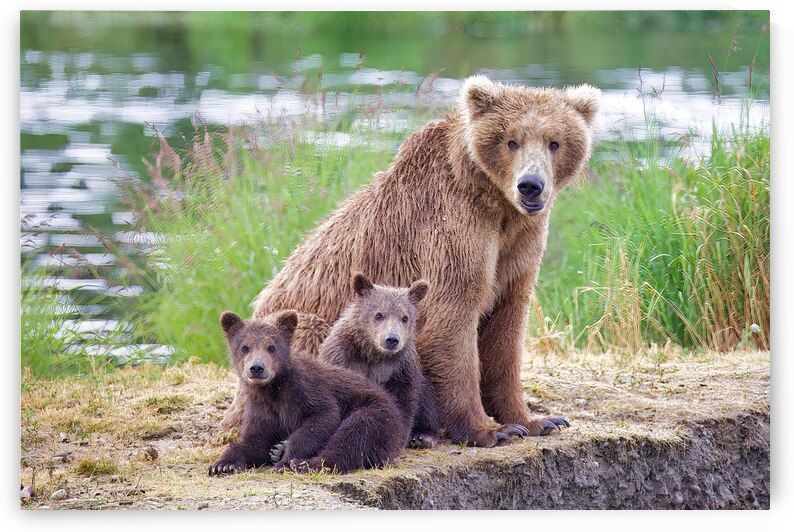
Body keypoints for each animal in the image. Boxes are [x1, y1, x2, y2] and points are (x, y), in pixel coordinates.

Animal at [208, 310, 404, 475]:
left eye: (271, 347)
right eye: (245, 347)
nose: (256, 368)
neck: (273, 389)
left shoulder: (304, 390)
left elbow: (323, 416)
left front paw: (285, 461)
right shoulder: (261, 407)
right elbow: (254, 441)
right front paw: (223, 464)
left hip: (377, 413)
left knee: (356, 433)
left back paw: (308, 464)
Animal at [317, 273, 443, 449]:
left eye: (405, 318)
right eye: (379, 315)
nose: (392, 339)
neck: (374, 354)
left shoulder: (400, 368)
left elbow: (404, 400)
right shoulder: (342, 357)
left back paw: (424, 435)